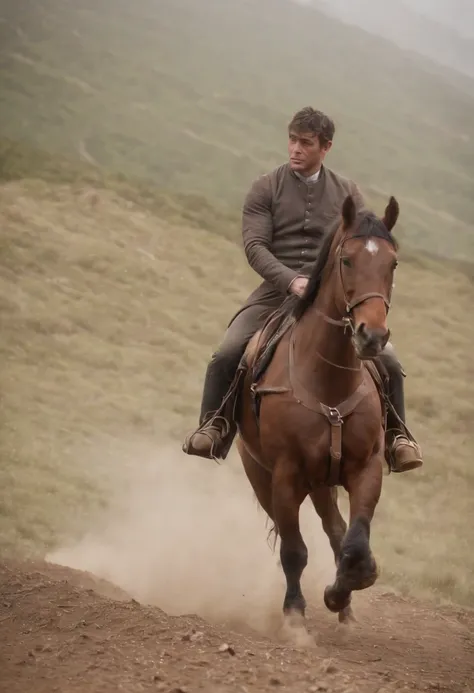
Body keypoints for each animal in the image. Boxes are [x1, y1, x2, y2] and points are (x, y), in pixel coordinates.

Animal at [235, 192, 398, 624]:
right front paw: (295, 615)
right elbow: (294, 551)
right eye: (347, 260)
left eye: (392, 263)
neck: (328, 382)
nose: (372, 336)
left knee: (335, 530)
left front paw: (342, 593)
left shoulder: (366, 467)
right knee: (295, 538)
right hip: (263, 477)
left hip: (323, 482)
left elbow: (354, 544)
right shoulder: (286, 475)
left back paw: (347, 611)